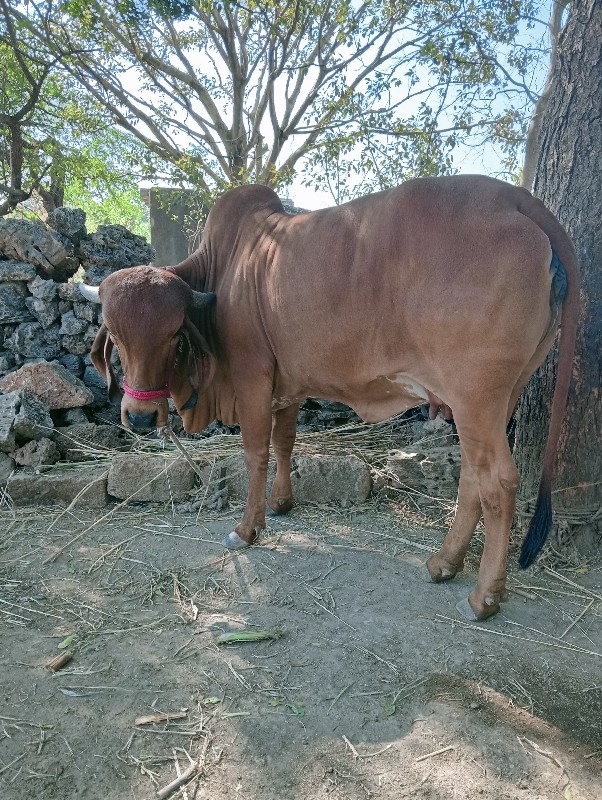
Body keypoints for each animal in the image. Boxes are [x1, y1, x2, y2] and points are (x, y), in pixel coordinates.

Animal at [79, 177, 576, 624]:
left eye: (173, 335)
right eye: (116, 337)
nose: (140, 418)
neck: (227, 266)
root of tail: (516, 197)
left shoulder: (252, 378)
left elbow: (256, 452)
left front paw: (246, 528)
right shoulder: (288, 387)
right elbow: (284, 444)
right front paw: (280, 504)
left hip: (476, 399)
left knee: (499, 484)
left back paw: (483, 597)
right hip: (496, 400)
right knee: (473, 476)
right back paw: (444, 563)